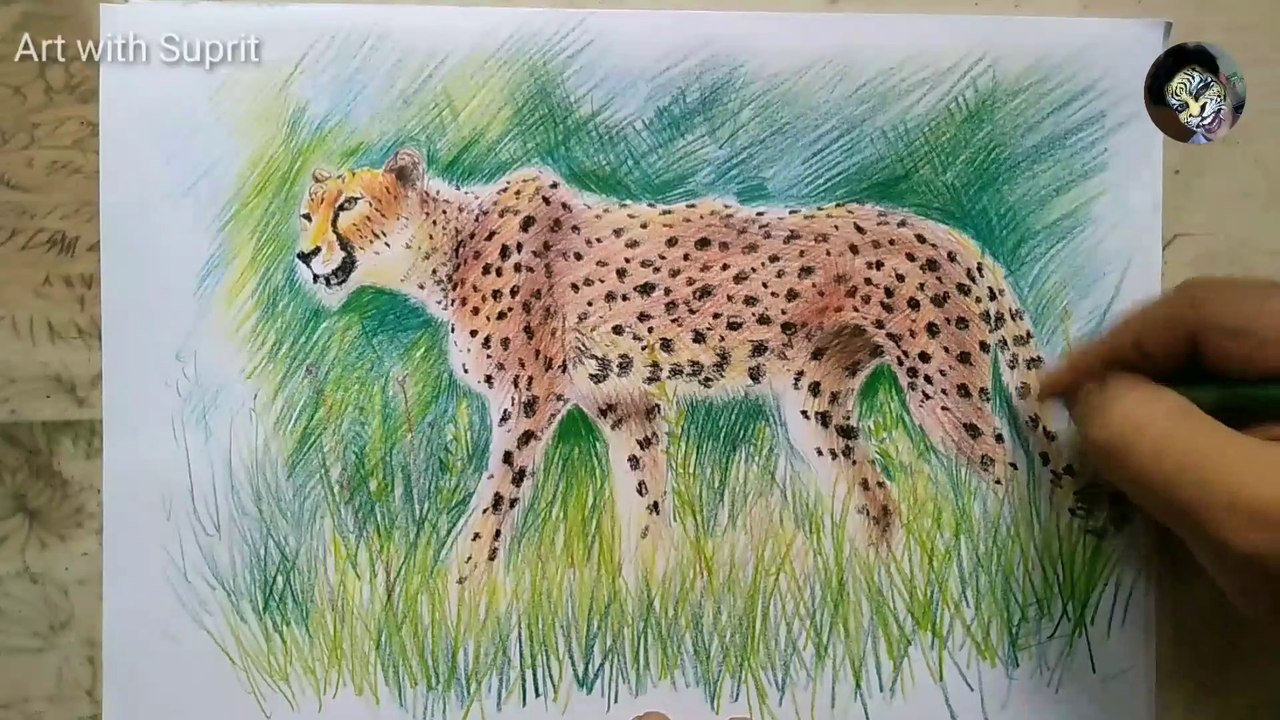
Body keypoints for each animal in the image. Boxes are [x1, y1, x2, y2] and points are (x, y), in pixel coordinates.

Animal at [294, 146, 1096, 588]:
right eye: (309, 212)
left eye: (352, 205)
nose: (303, 254)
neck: (443, 251)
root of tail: (950, 233)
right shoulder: (626, 402)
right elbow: (644, 503)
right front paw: (649, 597)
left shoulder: (529, 401)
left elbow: (494, 505)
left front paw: (461, 595)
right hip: (816, 405)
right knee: (879, 500)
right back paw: (880, 595)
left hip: (942, 388)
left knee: (1013, 474)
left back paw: (1013, 575)